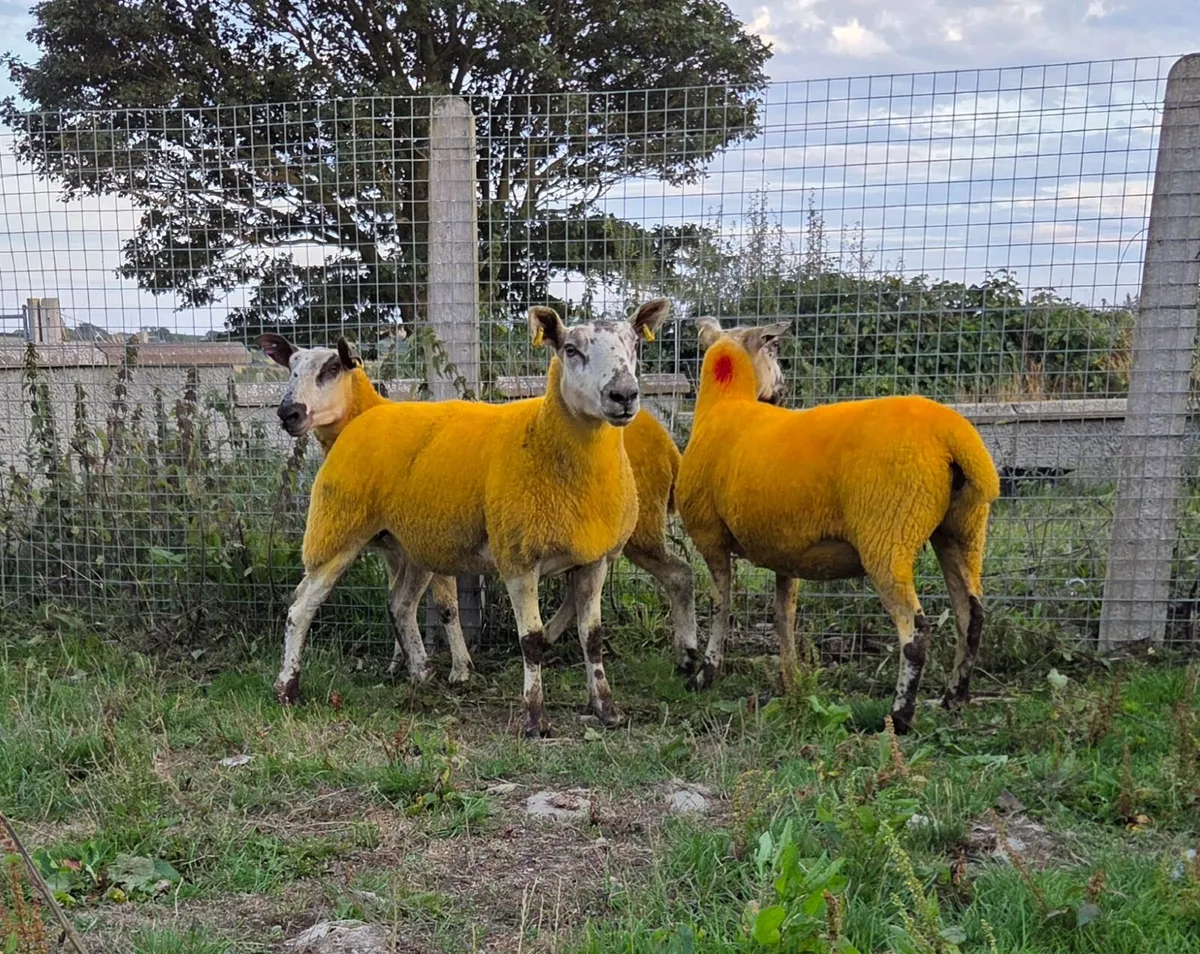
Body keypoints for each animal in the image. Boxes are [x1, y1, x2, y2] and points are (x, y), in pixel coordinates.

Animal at [255, 333, 473, 686]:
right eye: (290, 367)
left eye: (332, 368)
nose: (289, 413)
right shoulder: (394, 549)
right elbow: (403, 600)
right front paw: (404, 662)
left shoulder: (415, 547)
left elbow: (444, 605)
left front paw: (458, 669)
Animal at [675, 317, 1000, 733]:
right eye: (774, 352)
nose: (783, 389)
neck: (726, 403)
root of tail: (953, 437)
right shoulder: (786, 550)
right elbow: (783, 616)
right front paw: (791, 682)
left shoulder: (709, 536)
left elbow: (721, 605)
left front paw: (706, 673)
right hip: (963, 528)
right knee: (971, 615)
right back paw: (953, 697)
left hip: (888, 533)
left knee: (917, 630)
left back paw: (901, 714)